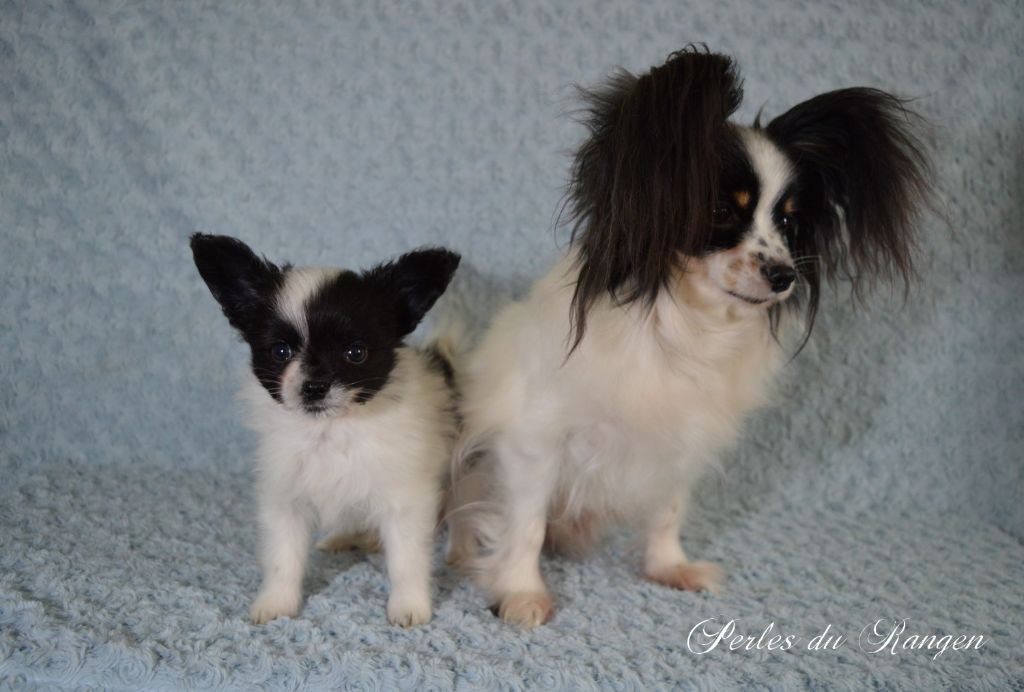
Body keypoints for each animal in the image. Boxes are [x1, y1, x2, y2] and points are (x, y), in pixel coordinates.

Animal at [190, 234, 460, 626]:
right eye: (280, 351)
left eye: (356, 353)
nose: (314, 387)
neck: (330, 432)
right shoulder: (285, 496)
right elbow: (282, 558)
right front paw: (276, 604)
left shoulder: (405, 498)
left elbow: (406, 559)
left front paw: (409, 606)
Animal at [445, 46, 933, 627]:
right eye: (721, 211)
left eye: (788, 224)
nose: (784, 276)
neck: (686, 322)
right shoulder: (534, 441)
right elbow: (526, 522)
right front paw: (520, 593)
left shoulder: (676, 438)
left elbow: (667, 509)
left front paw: (669, 568)